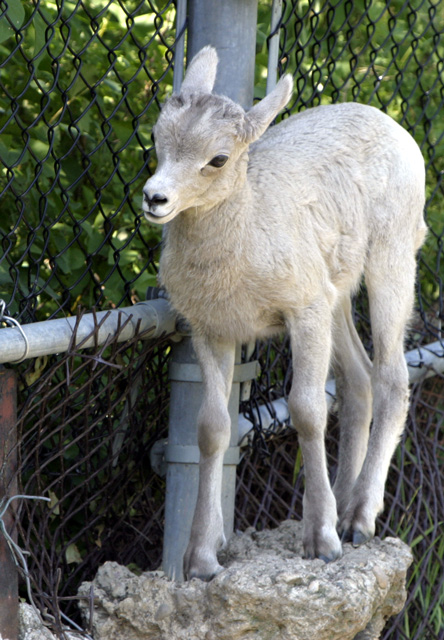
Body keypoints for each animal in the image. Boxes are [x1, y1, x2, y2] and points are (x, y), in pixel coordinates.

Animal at [142, 47, 426, 584]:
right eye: (157, 137)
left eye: (218, 158)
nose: (155, 198)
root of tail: (397, 129)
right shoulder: (212, 330)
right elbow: (211, 429)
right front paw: (201, 561)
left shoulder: (303, 310)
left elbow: (307, 410)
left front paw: (322, 544)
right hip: (336, 294)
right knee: (357, 379)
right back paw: (343, 506)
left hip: (392, 257)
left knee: (392, 376)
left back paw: (357, 521)